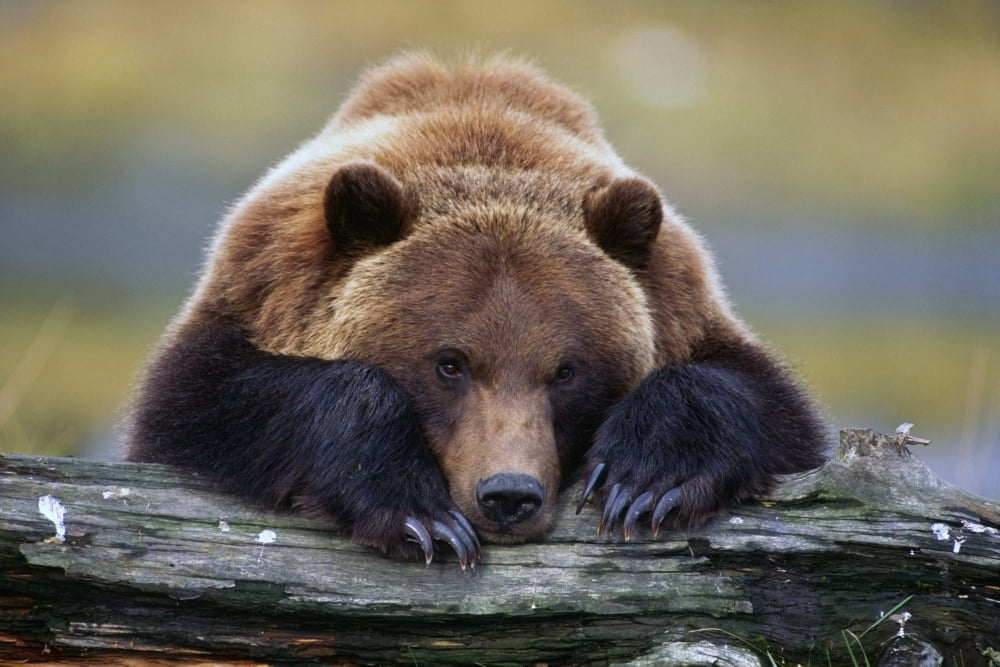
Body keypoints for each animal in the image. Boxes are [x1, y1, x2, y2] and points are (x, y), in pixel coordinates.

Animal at [127, 53, 827, 568]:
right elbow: (204, 403)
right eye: (449, 363)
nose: (509, 495)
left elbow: (768, 409)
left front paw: (643, 481)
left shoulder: (684, 309)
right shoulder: (252, 299)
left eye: (566, 370)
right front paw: (420, 513)